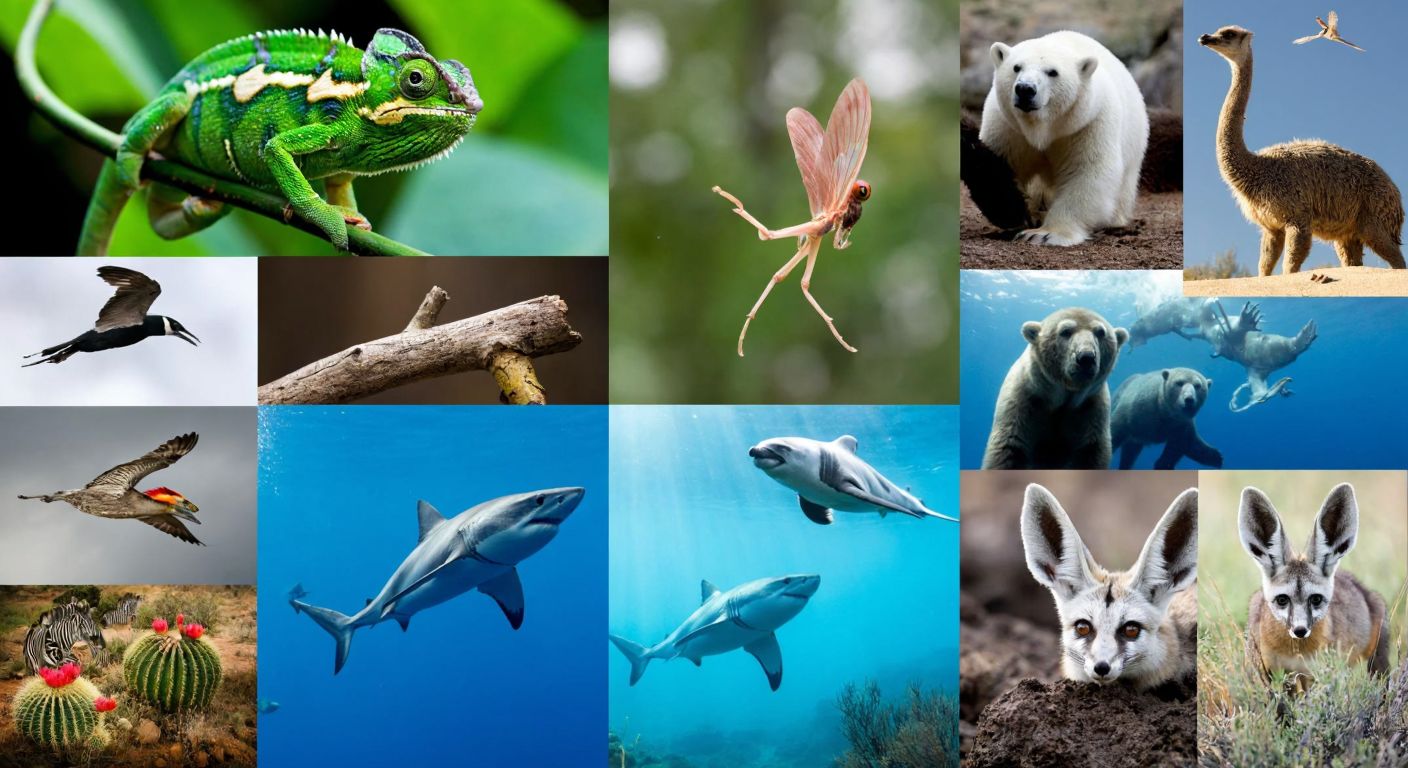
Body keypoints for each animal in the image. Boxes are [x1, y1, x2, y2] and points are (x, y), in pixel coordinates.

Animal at [980, 30, 1149, 246]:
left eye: (1052, 72)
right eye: (1016, 67)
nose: (1025, 89)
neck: (1044, 129)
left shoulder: (1088, 123)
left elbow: (1087, 172)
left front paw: (1043, 234)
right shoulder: (1007, 126)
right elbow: (996, 166)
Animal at [982, 307, 1129, 469]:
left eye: (1100, 332)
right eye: (1065, 331)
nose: (1086, 357)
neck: (1059, 397)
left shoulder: (1090, 409)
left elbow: (1090, 452)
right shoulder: (1023, 401)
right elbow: (1010, 447)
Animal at [1238, 483, 1389, 687]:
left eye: (1316, 599)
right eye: (1282, 600)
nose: (1300, 630)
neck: (1294, 653)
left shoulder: (1316, 674)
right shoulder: (1267, 673)